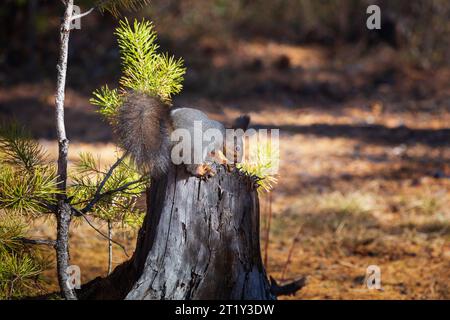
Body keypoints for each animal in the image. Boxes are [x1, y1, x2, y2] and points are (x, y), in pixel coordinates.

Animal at [114, 91, 250, 179]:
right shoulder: (213, 141)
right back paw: (202, 171)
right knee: (192, 166)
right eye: (237, 148)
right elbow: (214, 153)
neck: (223, 134)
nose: (237, 162)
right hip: (196, 143)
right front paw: (225, 161)